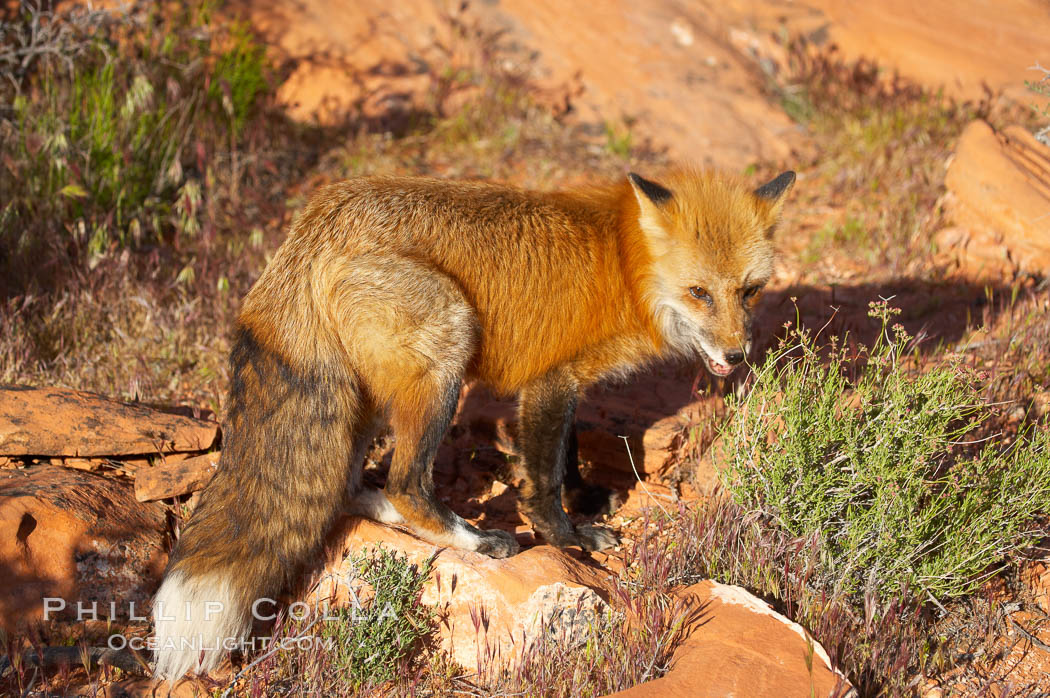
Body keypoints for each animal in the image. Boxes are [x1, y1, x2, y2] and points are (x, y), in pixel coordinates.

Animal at [152, 165, 789, 675]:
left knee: (351, 487)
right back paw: (476, 540)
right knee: (406, 484)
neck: (624, 267)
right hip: (447, 352)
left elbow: (566, 456)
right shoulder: (550, 380)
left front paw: (586, 499)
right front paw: (571, 540)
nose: (736, 355)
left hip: (364, 400)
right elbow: (544, 480)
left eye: (749, 291)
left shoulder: (563, 383)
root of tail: (312, 224)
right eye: (699, 292)